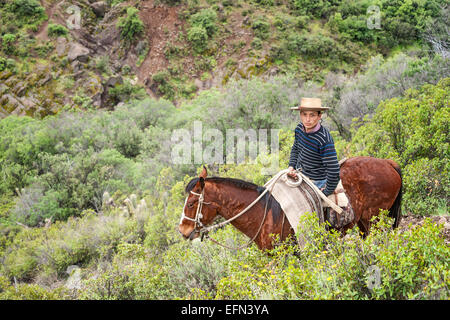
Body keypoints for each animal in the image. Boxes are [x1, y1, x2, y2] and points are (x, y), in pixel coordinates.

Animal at [178, 156, 402, 251]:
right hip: (364, 223)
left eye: (191, 203)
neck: (263, 211)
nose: (183, 230)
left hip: (375, 220)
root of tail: (388, 163)